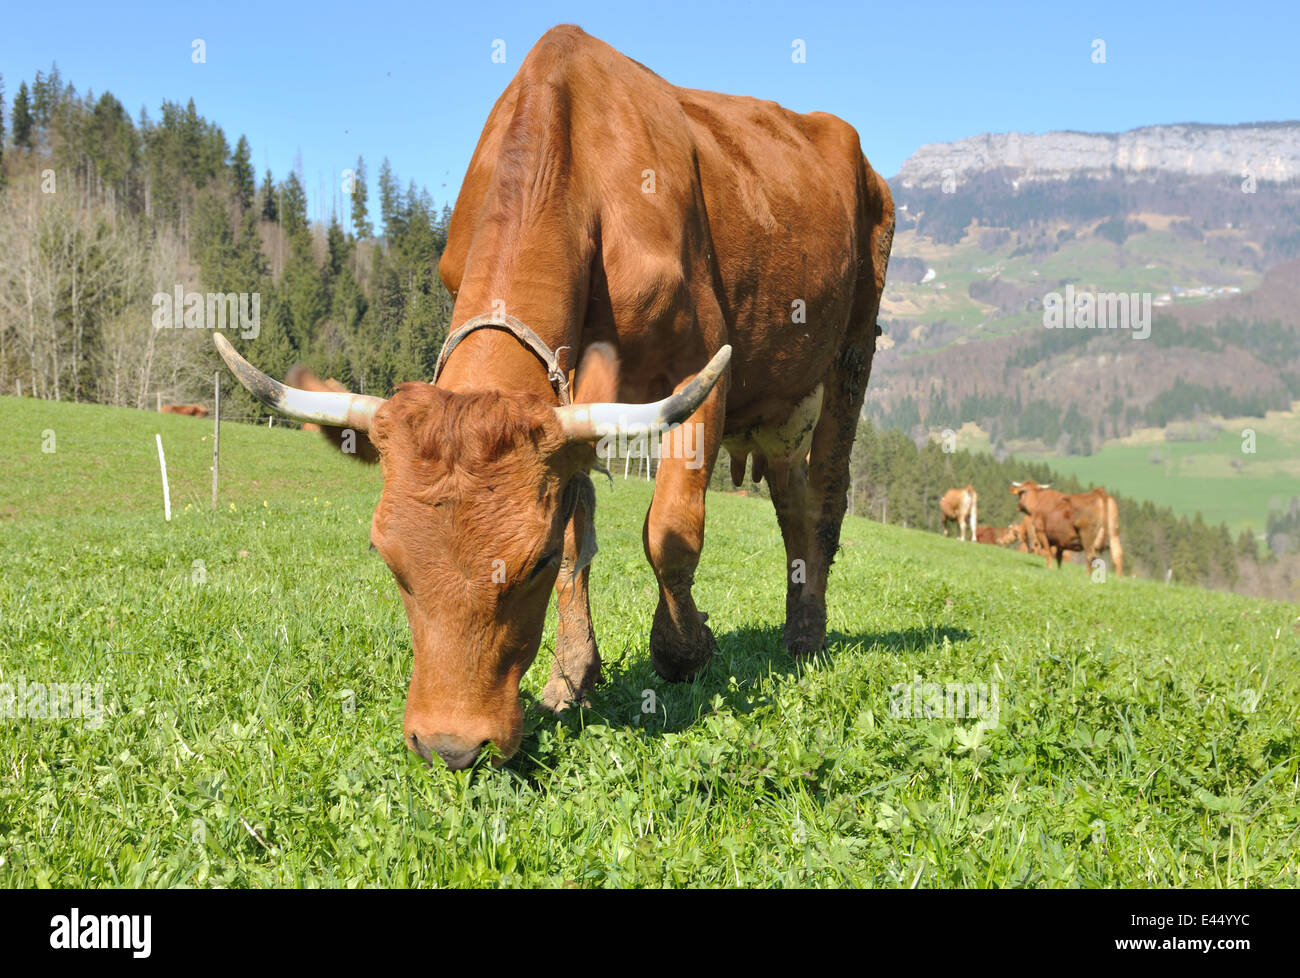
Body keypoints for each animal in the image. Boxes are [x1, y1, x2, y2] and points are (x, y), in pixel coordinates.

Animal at [213, 22, 894, 769]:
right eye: (386, 558)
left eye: (528, 563)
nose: (450, 744)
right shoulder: (570, 411)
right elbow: (579, 533)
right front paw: (571, 677)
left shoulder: (702, 366)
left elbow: (671, 532)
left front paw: (685, 652)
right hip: (777, 405)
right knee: (793, 504)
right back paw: (800, 626)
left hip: (854, 347)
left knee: (826, 497)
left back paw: (807, 640)